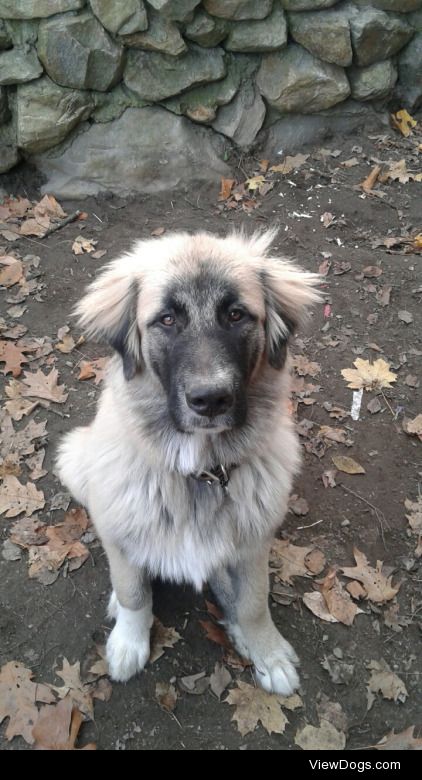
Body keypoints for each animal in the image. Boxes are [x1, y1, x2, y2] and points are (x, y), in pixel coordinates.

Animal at [56, 230, 320, 696]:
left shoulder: (254, 543)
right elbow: (133, 593)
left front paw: (265, 650)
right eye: (166, 320)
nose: (210, 400)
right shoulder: (121, 531)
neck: (202, 472)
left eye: (236, 315)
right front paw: (129, 641)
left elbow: (254, 602)